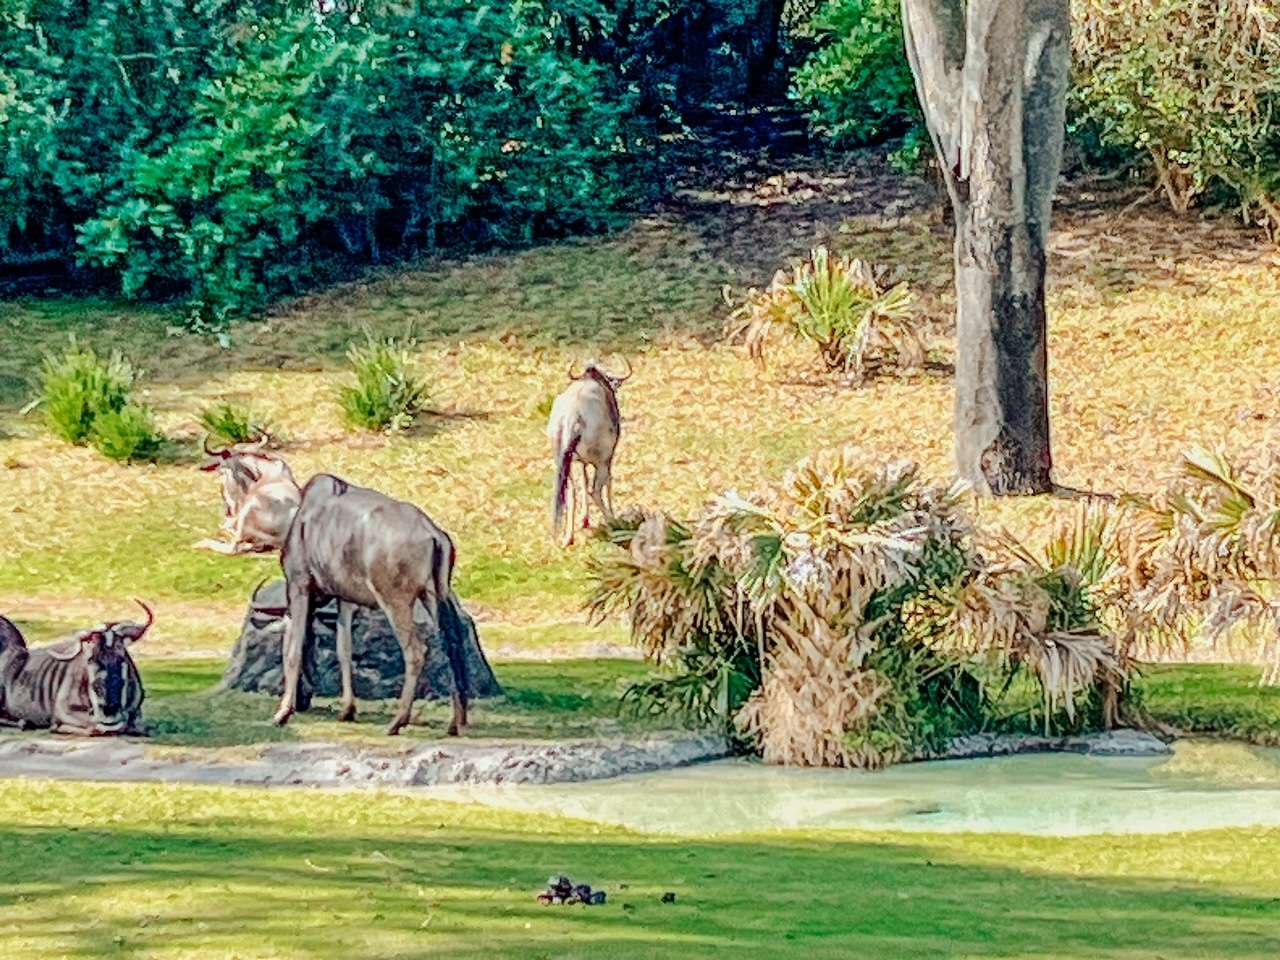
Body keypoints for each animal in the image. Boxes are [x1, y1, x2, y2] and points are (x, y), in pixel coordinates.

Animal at [271, 474, 469, 737]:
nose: (304, 701)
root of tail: (435, 535)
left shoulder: (299, 584)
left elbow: (293, 651)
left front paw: (283, 713)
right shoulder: (344, 597)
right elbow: (343, 649)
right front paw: (347, 710)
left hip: (395, 599)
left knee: (416, 651)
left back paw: (397, 721)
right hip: (435, 595)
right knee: (452, 645)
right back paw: (455, 721)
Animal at [547, 358, 632, 546]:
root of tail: (572, 418)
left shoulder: (579, 462)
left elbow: (582, 483)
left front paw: (584, 520)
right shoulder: (608, 458)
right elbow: (607, 483)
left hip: (565, 463)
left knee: (570, 492)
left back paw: (568, 537)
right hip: (600, 462)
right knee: (595, 491)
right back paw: (613, 522)